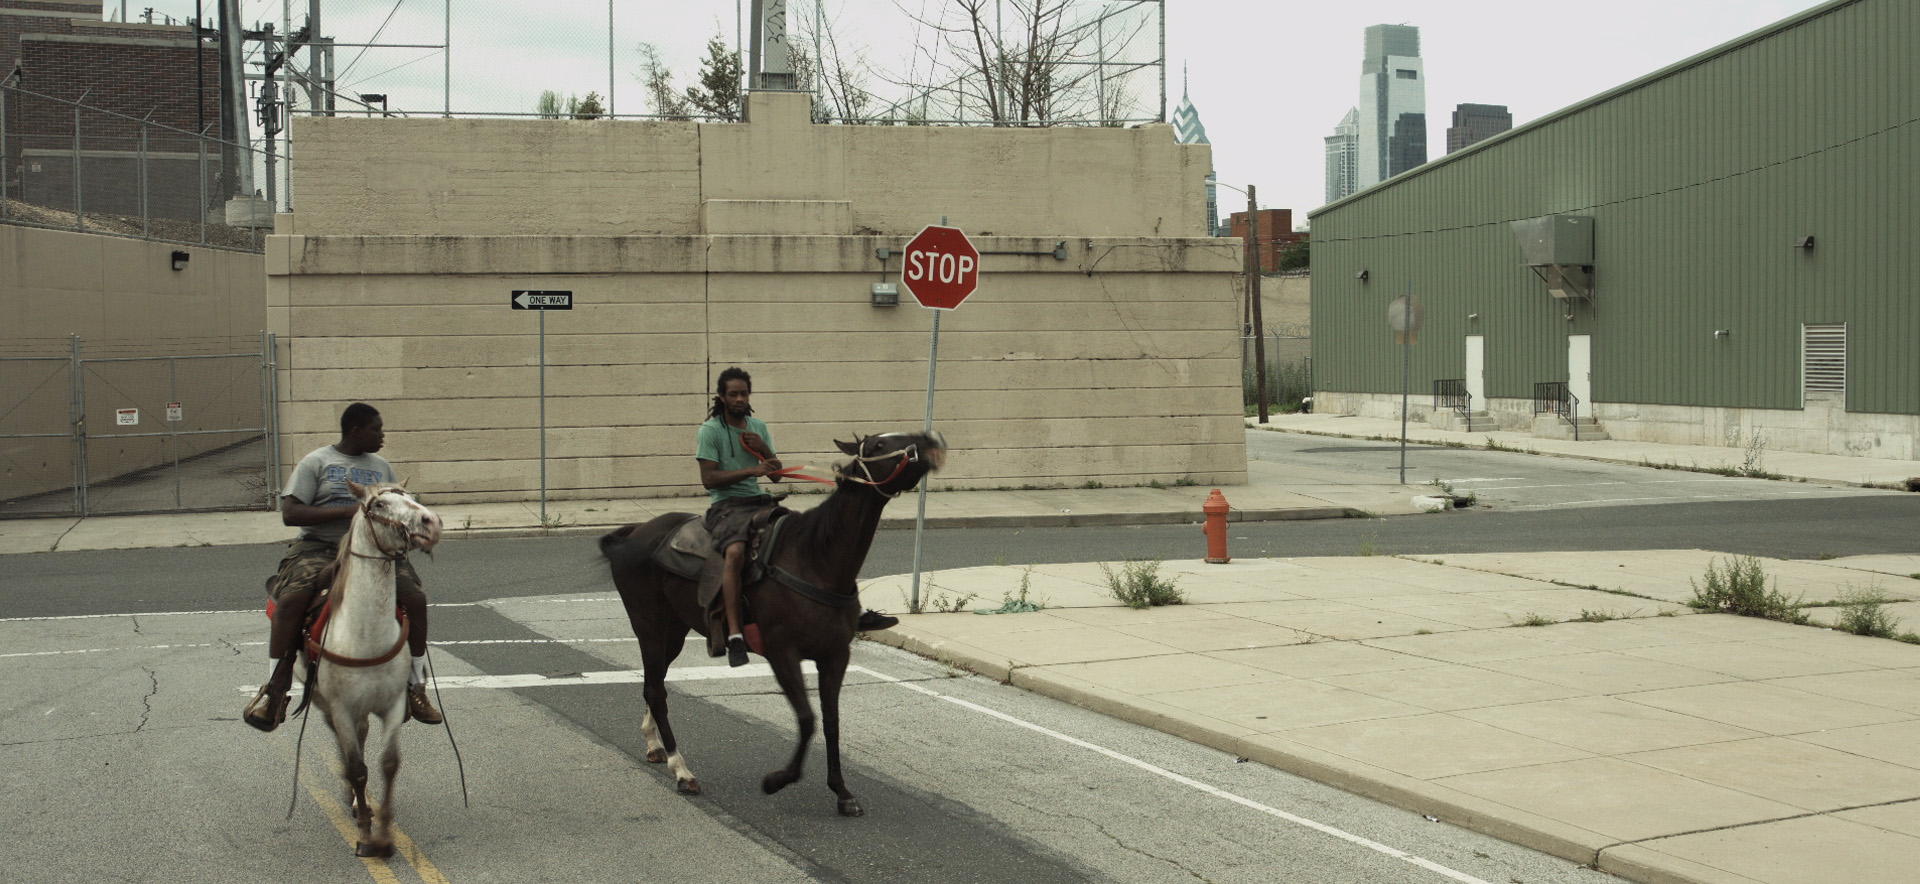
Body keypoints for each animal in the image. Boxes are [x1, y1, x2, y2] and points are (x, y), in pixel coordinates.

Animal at [297, 480, 443, 860]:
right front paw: (365, 835)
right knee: (346, 749)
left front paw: (385, 834)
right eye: (379, 504)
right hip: (326, 706)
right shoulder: (342, 709)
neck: (366, 633)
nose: (432, 522)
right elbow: (357, 768)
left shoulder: (392, 704)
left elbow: (388, 763)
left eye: (409, 497)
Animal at [599, 428, 944, 814]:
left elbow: (832, 722)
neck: (815, 559)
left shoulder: (835, 656)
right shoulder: (783, 654)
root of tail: (632, 533)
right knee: (656, 690)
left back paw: (654, 745)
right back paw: (682, 770)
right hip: (650, 625)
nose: (930, 439)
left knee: (653, 683)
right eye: (880, 445)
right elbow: (807, 720)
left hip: (673, 631)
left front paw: (841, 791)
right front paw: (778, 780)